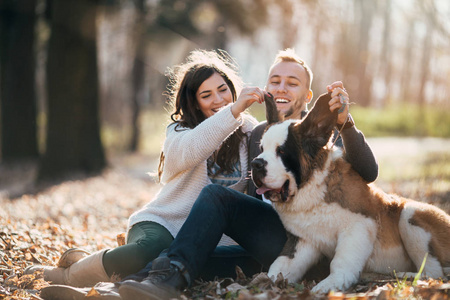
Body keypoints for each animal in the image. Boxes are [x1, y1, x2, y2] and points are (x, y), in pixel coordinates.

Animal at [251, 92, 448, 292]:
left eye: (282, 151)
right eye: (261, 149)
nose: (256, 164)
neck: (311, 184)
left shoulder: (359, 227)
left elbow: (341, 261)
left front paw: (329, 284)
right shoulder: (303, 240)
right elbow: (281, 264)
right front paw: (265, 282)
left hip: (410, 213)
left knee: (434, 272)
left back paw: (401, 276)